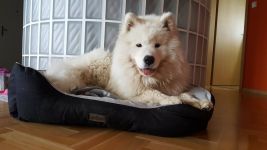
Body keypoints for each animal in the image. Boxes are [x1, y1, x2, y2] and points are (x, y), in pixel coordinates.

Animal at [45, 12, 214, 109]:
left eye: (157, 45)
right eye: (138, 45)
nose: (148, 59)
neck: (151, 79)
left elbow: (184, 94)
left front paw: (201, 102)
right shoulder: (131, 95)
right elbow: (154, 93)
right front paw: (171, 100)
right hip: (97, 62)